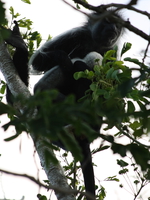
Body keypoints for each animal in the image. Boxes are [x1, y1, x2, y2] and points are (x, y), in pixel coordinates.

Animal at [6, 10, 122, 200]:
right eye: (107, 21)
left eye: (116, 26)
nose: (113, 29)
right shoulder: (76, 38)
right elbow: (44, 61)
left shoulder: (110, 54)